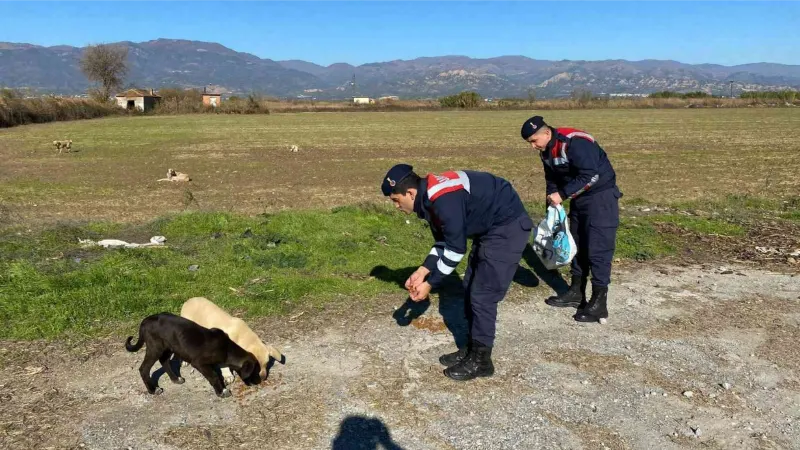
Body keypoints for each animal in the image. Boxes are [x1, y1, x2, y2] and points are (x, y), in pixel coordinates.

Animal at [126, 312, 262, 398]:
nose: (259, 382)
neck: (227, 348)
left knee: (164, 361)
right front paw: (221, 392)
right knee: (144, 368)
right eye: (255, 371)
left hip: (170, 346)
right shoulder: (199, 363)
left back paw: (176, 379)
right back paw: (153, 390)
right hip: (155, 348)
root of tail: (145, 321)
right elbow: (214, 376)